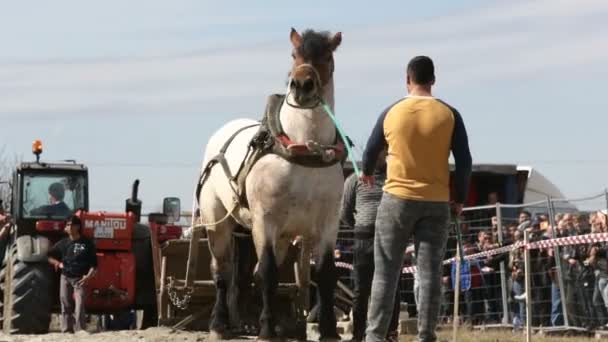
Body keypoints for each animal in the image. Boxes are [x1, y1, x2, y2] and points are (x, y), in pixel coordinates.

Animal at [195, 28, 346, 340]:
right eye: (294, 54)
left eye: (327, 55)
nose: (302, 85)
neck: (305, 149)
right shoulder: (265, 221)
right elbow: (267, 273)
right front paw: (266, 328)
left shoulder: (327, 223)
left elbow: (325, 273)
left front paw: (327, 329)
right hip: (217, 222)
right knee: (223, 271)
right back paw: (220, 323)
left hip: (281, 237)